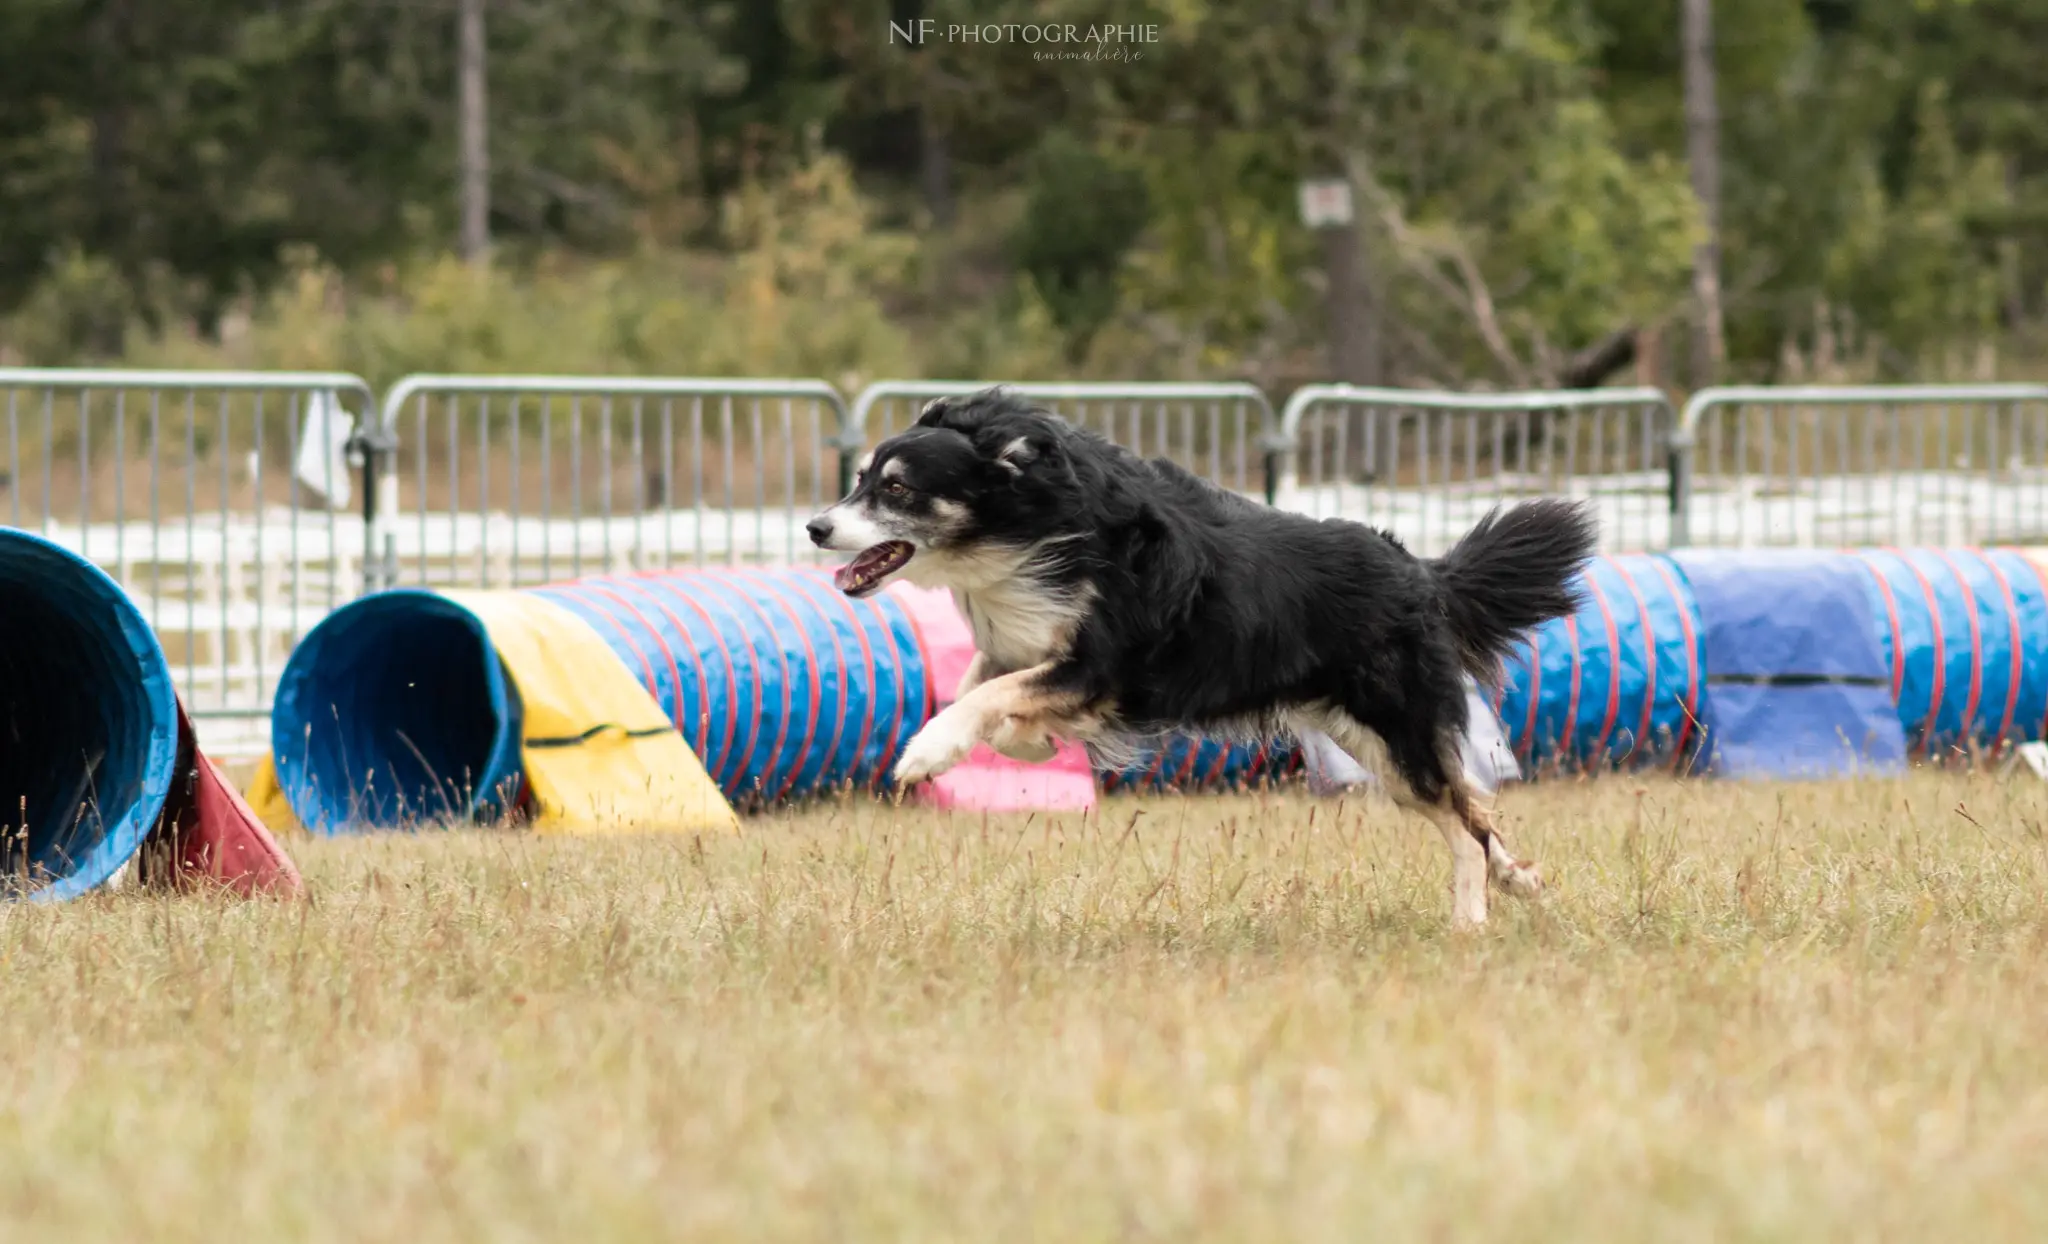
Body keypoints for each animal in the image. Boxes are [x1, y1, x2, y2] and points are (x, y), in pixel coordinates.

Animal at [802, 387, 1597, 926]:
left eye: (897, 487)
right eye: (860, 479)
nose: (815, 528)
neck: (1030, 529)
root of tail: (1421, 571)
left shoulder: (1101, 667)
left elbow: (987, 695)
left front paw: (928, 752)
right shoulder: (1031, 648)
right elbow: (980, 683)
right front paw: (1028, 744)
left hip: (1399, 731)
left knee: (1464, 825)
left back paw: (1470, 920)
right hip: (1375, 743)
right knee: (1475, 811)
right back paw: (1520, 881)